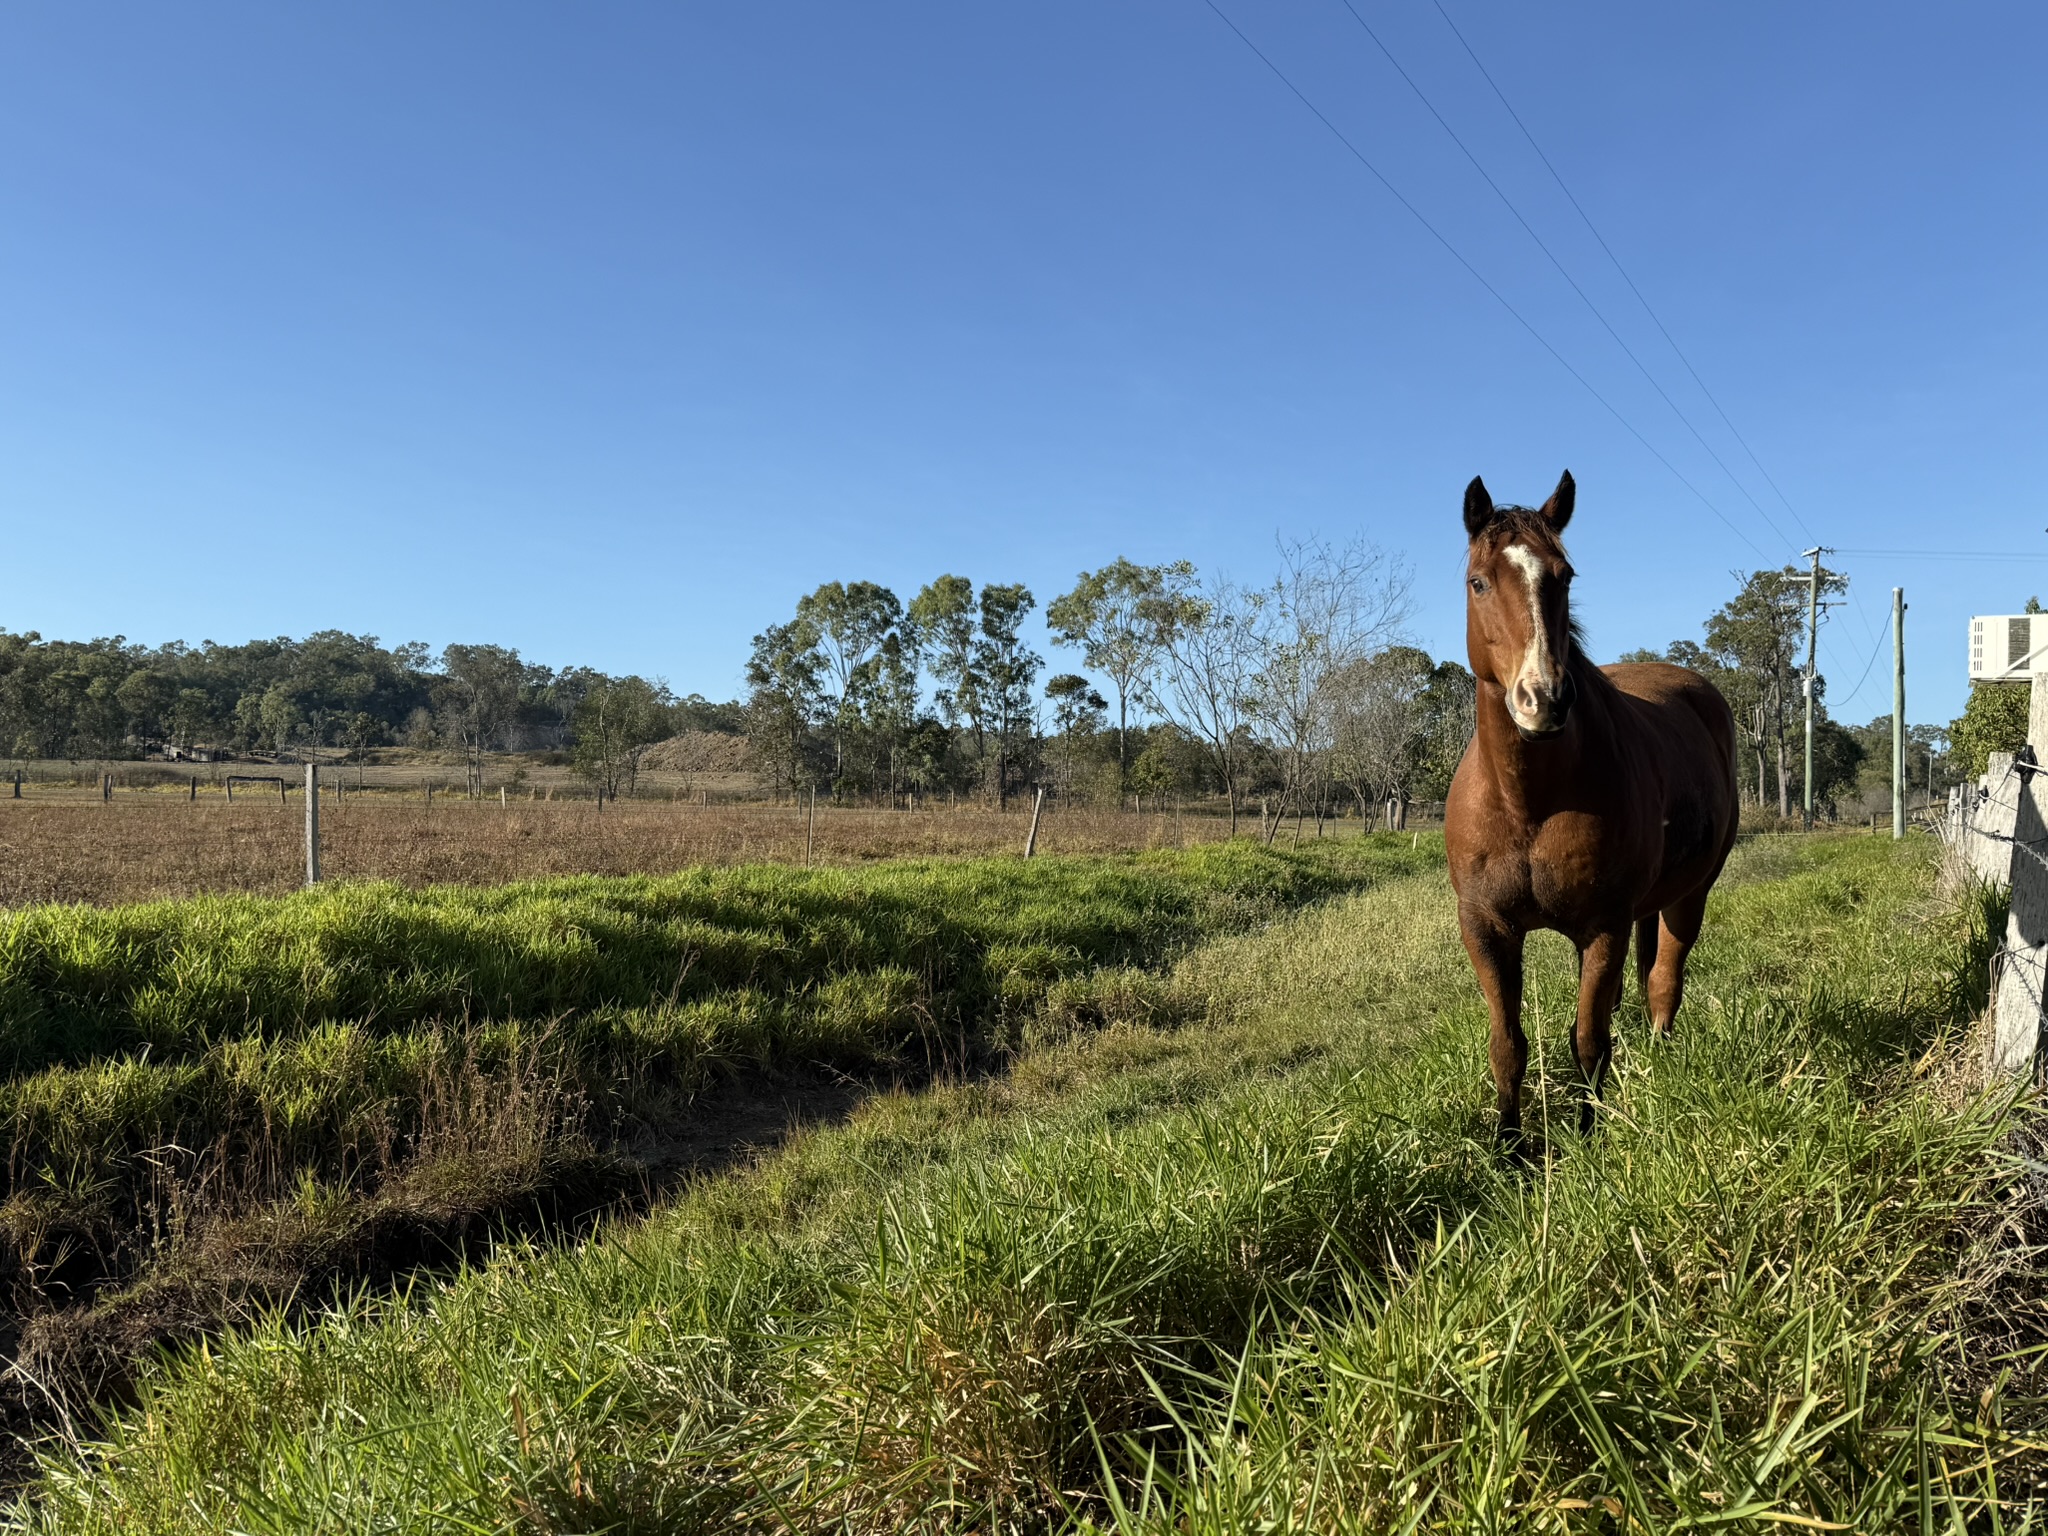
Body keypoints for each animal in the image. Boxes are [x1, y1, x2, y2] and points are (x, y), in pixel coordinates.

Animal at [1445, 470, 1738, 1143]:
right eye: (1479, 581)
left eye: (1565, 575)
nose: (1544, 700)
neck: (1526, 805)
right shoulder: (1486, 927)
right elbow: (1507, 1045)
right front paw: (1509, 1146)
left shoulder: (1602, 926)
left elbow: (1588, 1040)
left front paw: (1586, 1133)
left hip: (1691, 895)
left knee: (1663, 983)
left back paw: (1658, 1060)